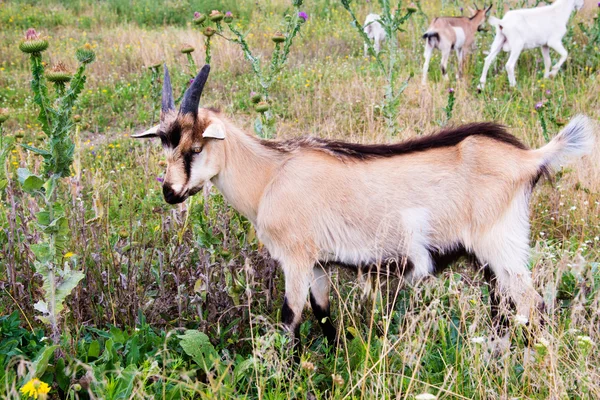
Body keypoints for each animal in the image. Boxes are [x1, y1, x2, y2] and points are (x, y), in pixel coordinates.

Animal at [135, 65, 596, 356]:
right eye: (164, 145)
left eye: (196, 147)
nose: (170, 193)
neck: (271, 175)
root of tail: (529, 158)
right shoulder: (319, 264)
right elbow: (323, 316)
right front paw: (336, 360)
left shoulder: (296, 258)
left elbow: (289, 318)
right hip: (489, 258)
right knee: (504, 309)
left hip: (500, 245)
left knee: (533, 306)